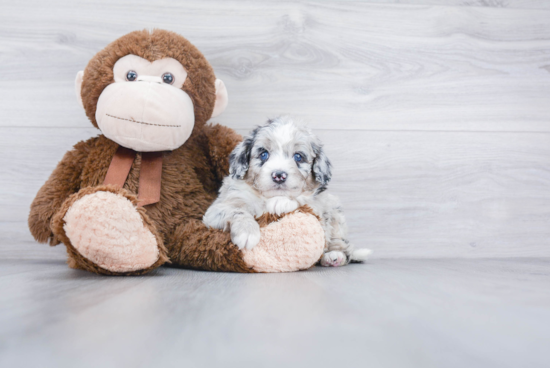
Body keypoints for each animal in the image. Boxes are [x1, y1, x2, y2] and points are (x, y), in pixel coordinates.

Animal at [203, 116, 370, 266]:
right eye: (264, 154)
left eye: (298, 157)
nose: (279, 175)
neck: (267, 197)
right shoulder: (217, 209)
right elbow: (237, 211)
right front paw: (247, 233)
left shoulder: (320, 203)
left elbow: (304, 198)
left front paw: (280, 202)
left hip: (335, 214)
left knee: (341, 244)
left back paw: (334, 256)